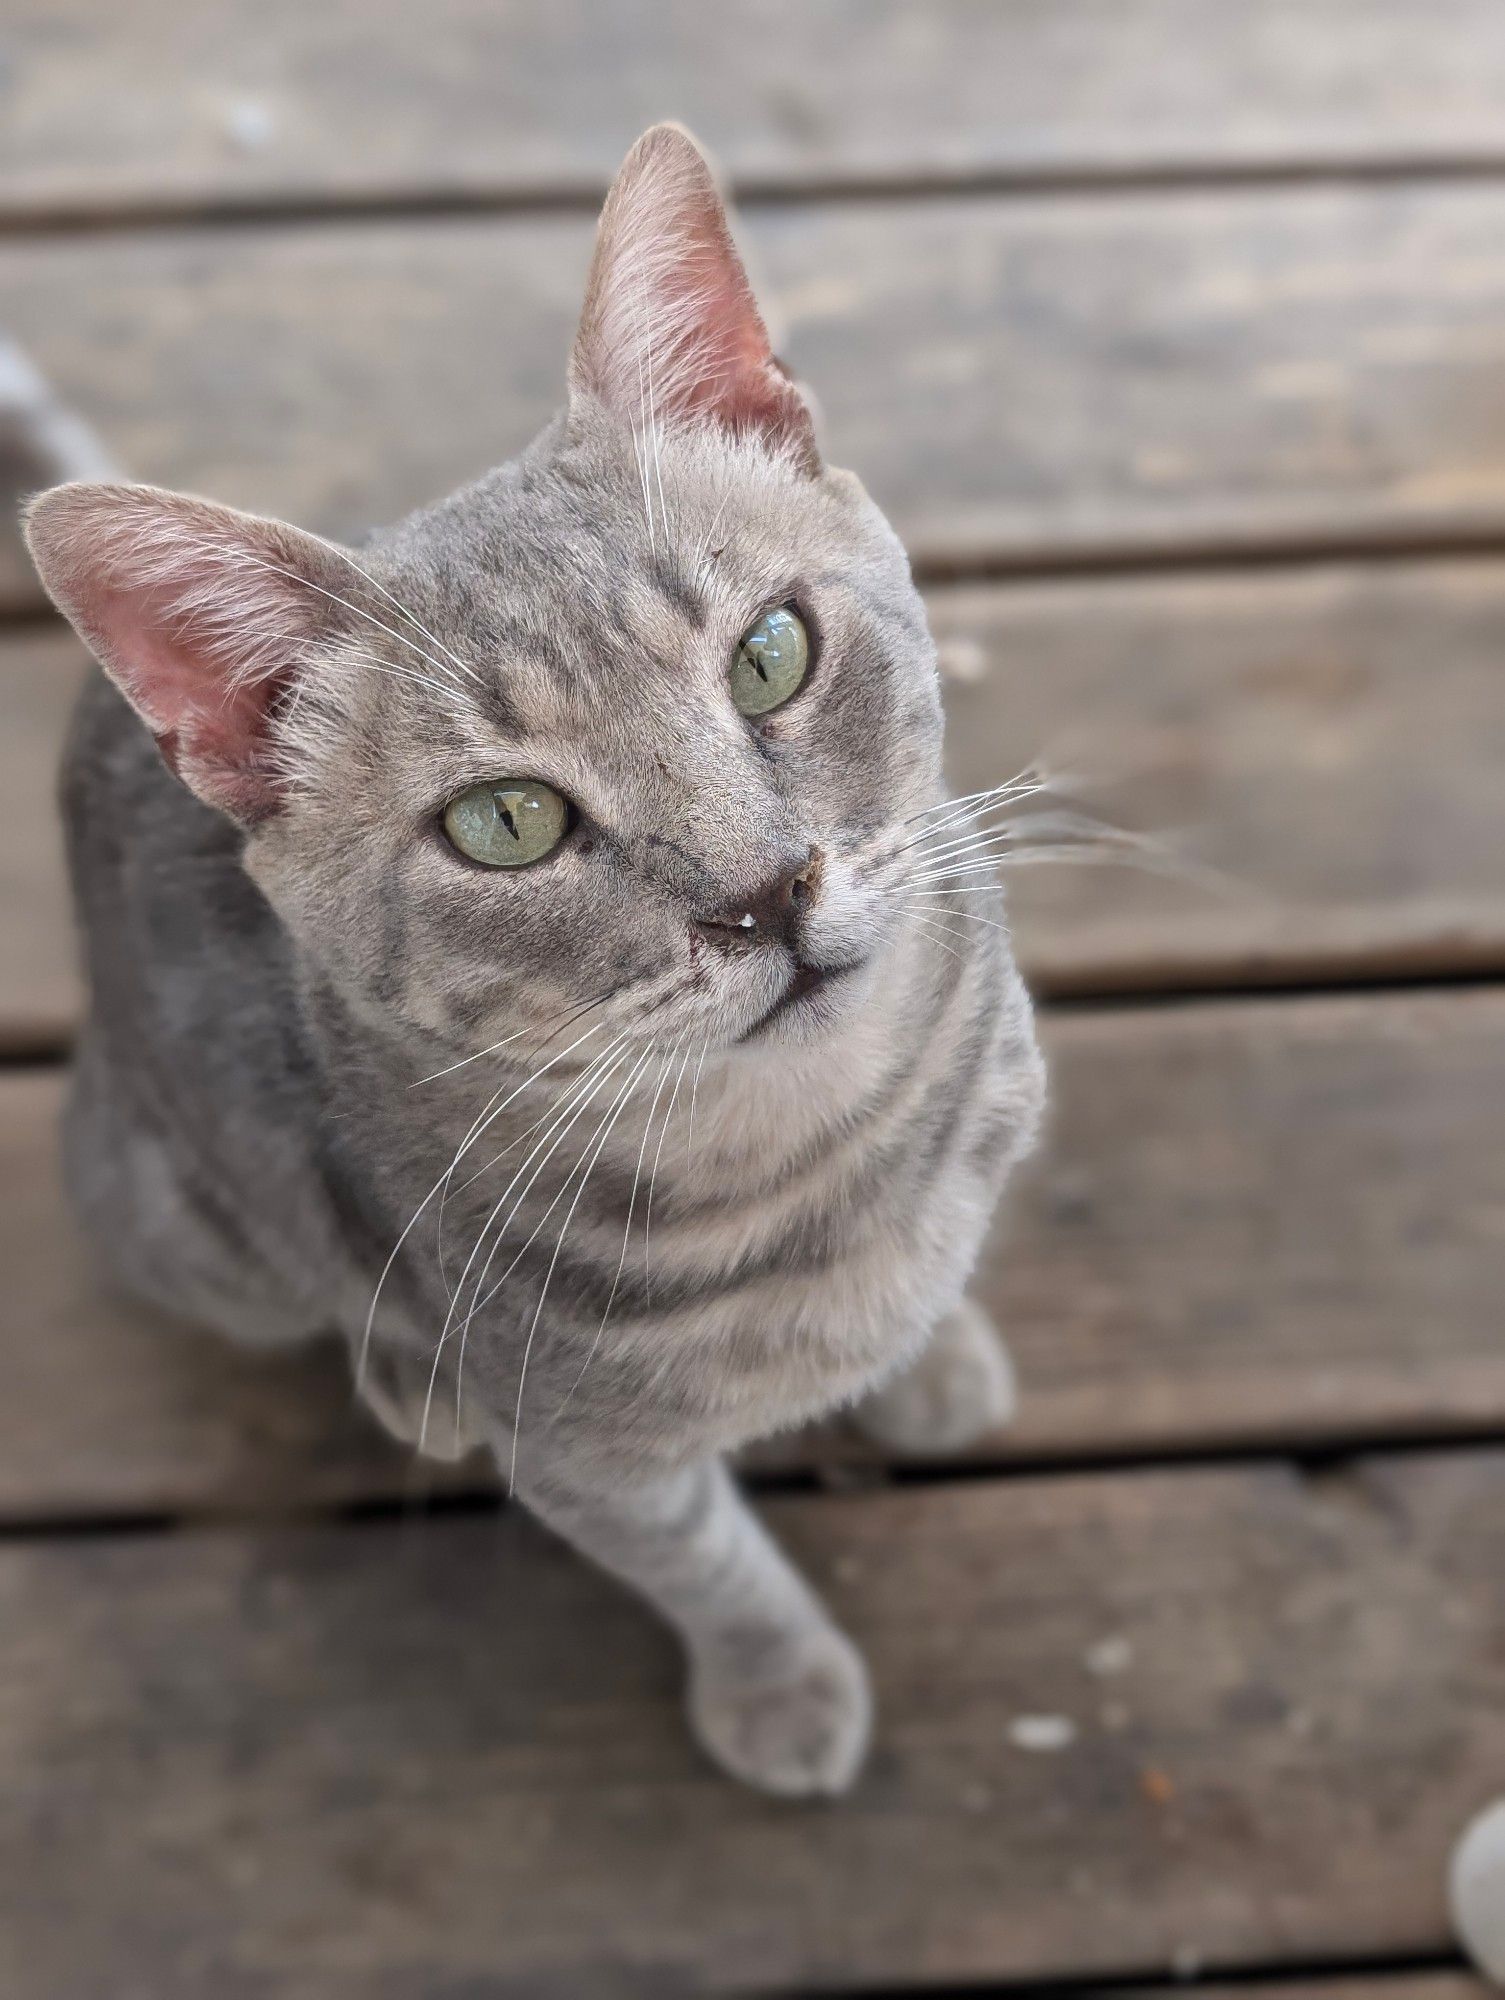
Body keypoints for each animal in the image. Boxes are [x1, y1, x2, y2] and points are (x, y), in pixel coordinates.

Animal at [23, 133, 1040, 1808]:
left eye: (771, 653)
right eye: (507, 823)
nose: (763, 896)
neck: (816, 1154)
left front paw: (932, 1351)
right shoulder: (582, 1454)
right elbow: (707, 1561)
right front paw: (779, 1682)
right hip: (193, 1236)